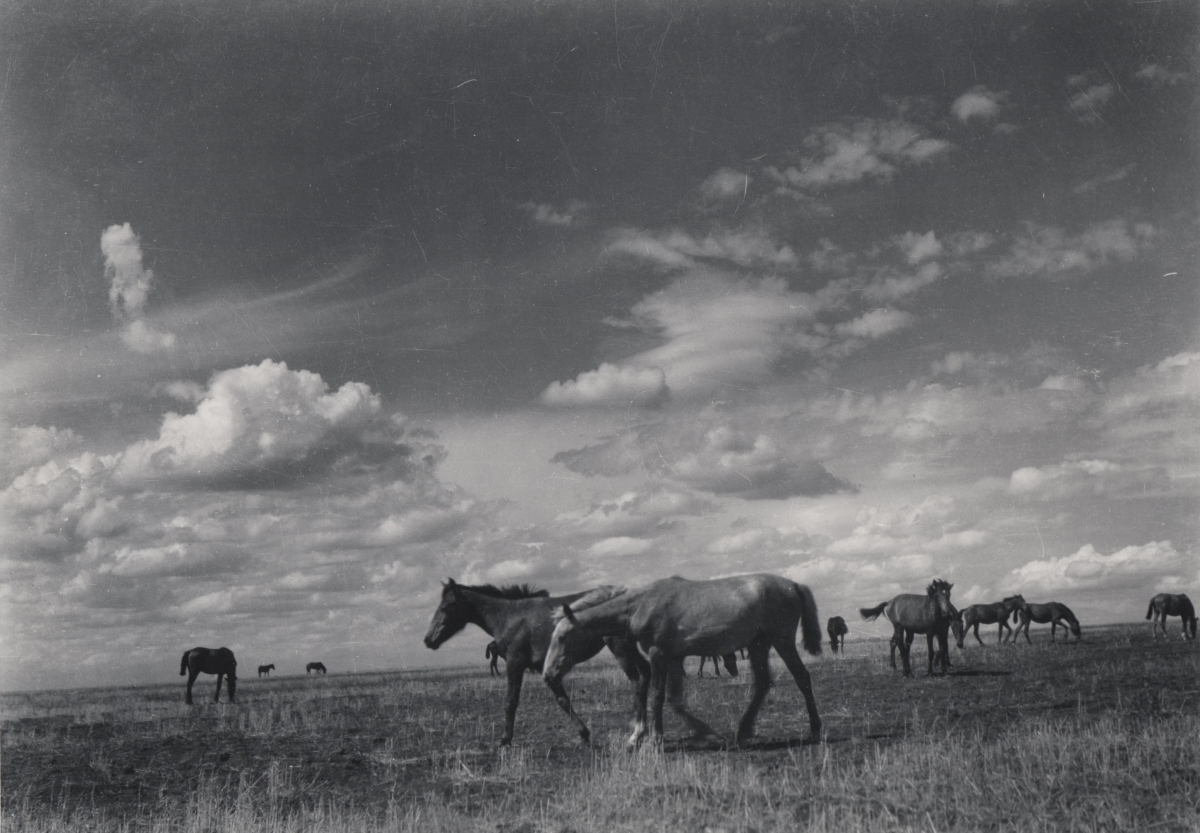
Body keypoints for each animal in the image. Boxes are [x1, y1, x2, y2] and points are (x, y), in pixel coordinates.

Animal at [424, 579, 650, 746]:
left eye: (447, 606)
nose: (428, 640)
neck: (508, 617)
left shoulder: (515, 664)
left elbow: (511, 702)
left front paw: (505, 740)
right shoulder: (546, 668)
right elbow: (562, 700)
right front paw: (584, 734)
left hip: (620, 648)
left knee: (638, 681)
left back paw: (637, 734)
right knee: (646, 675)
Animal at [543, 574, 822, 748]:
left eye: (563, 636)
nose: (547, 673)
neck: (641, 604)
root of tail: (794, 584)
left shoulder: (659, 655)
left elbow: (657, 696)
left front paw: (654, 740)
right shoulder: (675, 659)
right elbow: (674, 700)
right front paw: (706, 733)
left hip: (781, 641)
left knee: (802, 677)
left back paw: (815, 729)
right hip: (758, 646)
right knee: (763, 683)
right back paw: (742, 731)